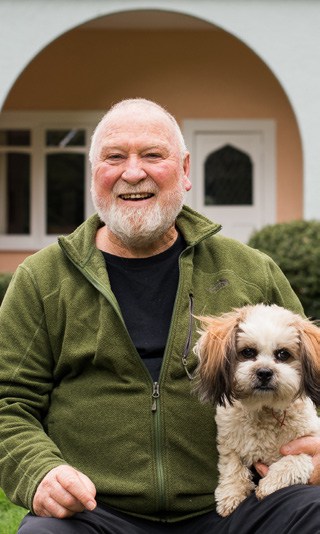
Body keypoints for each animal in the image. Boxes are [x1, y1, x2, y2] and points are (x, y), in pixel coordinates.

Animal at [192, 306, 320, 520]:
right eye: (248, 352)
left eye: (283, 354)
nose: (264, 372)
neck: (265, 409)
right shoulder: (229, 441)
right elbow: (232, 466)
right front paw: (231, 494)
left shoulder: (308, 443)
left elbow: (294, 460)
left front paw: (269, 485)